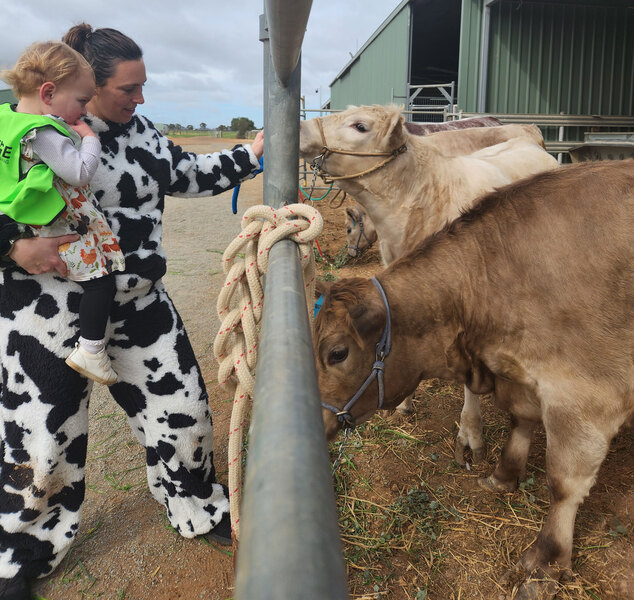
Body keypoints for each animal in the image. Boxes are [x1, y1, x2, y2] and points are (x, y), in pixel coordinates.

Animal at [312, 159, 632, 600]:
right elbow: (520, 422)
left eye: (337, 353)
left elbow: (564, 483)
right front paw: (503, 476)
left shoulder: (583, 395)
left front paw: (546, 560)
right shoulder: (521, 376)